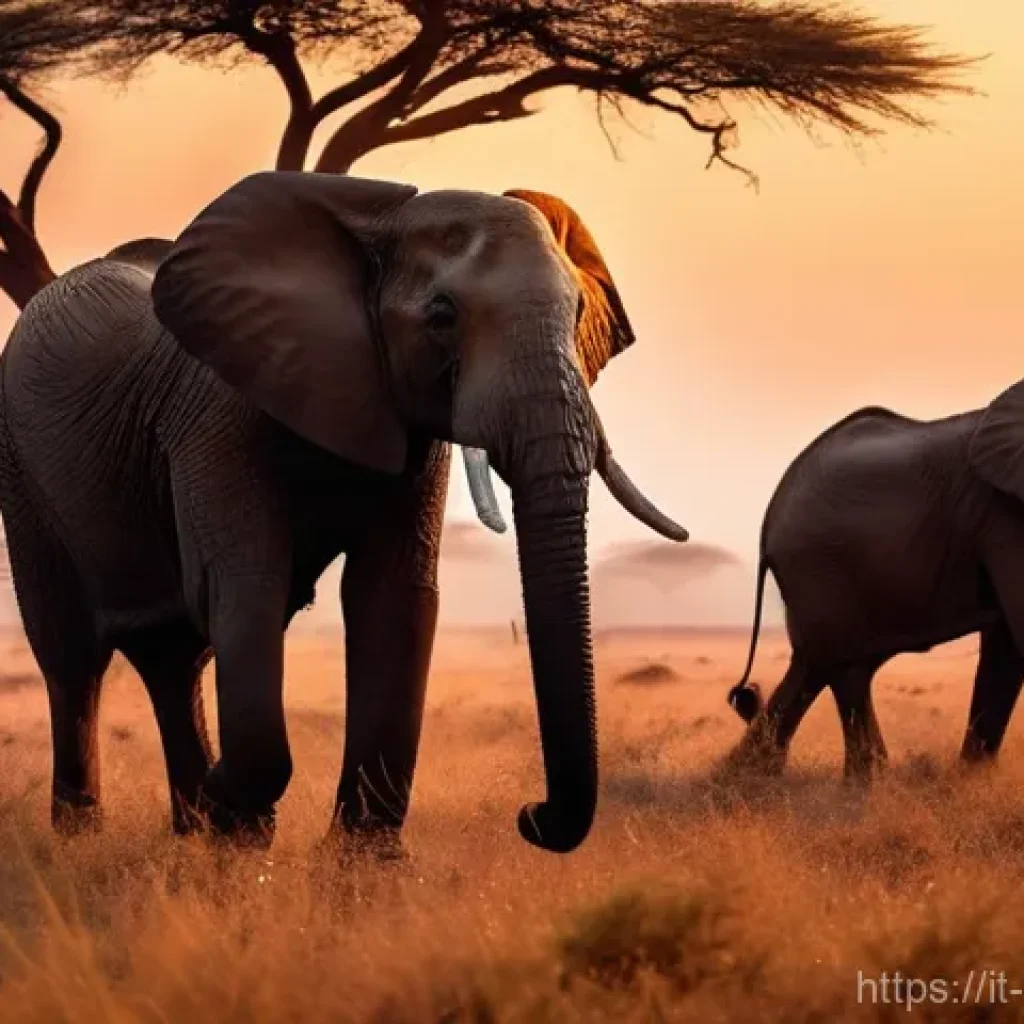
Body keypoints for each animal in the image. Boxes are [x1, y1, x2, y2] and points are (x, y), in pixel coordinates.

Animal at [0, 171, 687, 856]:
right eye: (443, 315)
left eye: (578, 314)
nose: (530, 815)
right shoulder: (218, 408)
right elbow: (245, 584)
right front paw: (241, 821)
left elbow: (392, 594)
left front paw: (356, 863)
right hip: (21, 473)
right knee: (73, 659)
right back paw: (88, 840)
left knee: (172, 659)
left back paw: (190, 833)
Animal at [724, 396, 1024, 782]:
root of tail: (768, 520)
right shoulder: (1004, 514)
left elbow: (1005, 647)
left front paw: (973, 782)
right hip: (822, 570)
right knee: (845, 666)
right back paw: (861, 785)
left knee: (818, 664)